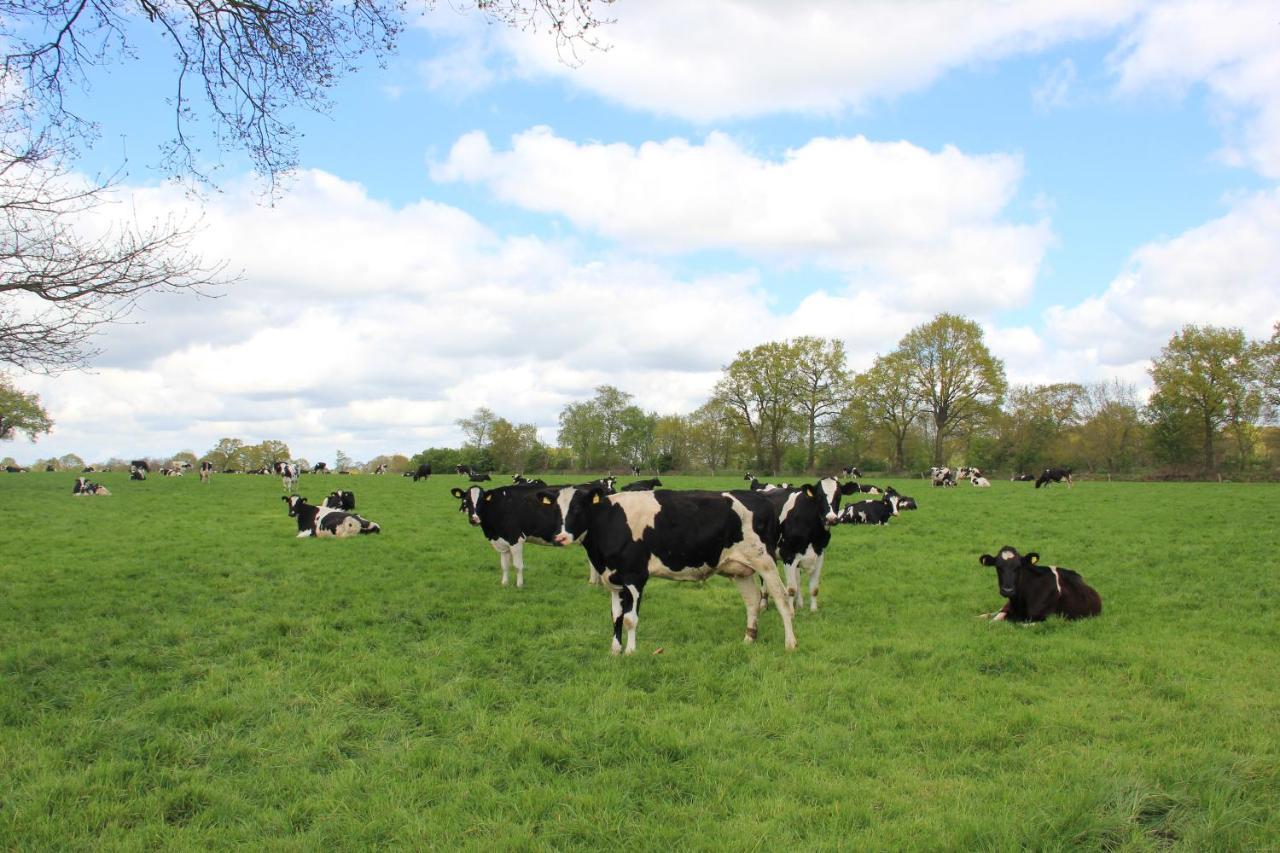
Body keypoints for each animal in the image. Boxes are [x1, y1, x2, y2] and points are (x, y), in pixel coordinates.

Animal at [450, 481, 586, 589]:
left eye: (481, 501)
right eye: (466, 501)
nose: (474, 519)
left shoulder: (516, 539)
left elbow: (518, 565)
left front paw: (519, 585)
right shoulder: (503, 541)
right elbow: (504, 565)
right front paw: (504, 584)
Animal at [545, 484, 793, 650]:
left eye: (577, 509)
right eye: (556, 509)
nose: (560, 537)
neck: (611, 521)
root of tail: (761, 498)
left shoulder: (635, 577)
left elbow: (629, 619)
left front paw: (630, 652)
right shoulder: (613, 580)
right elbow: (615, 617)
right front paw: (614, 651)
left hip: (765, 562)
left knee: (782, 599)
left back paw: (790, 643)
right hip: (739, 569)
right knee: (752, 601)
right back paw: (749, 639)